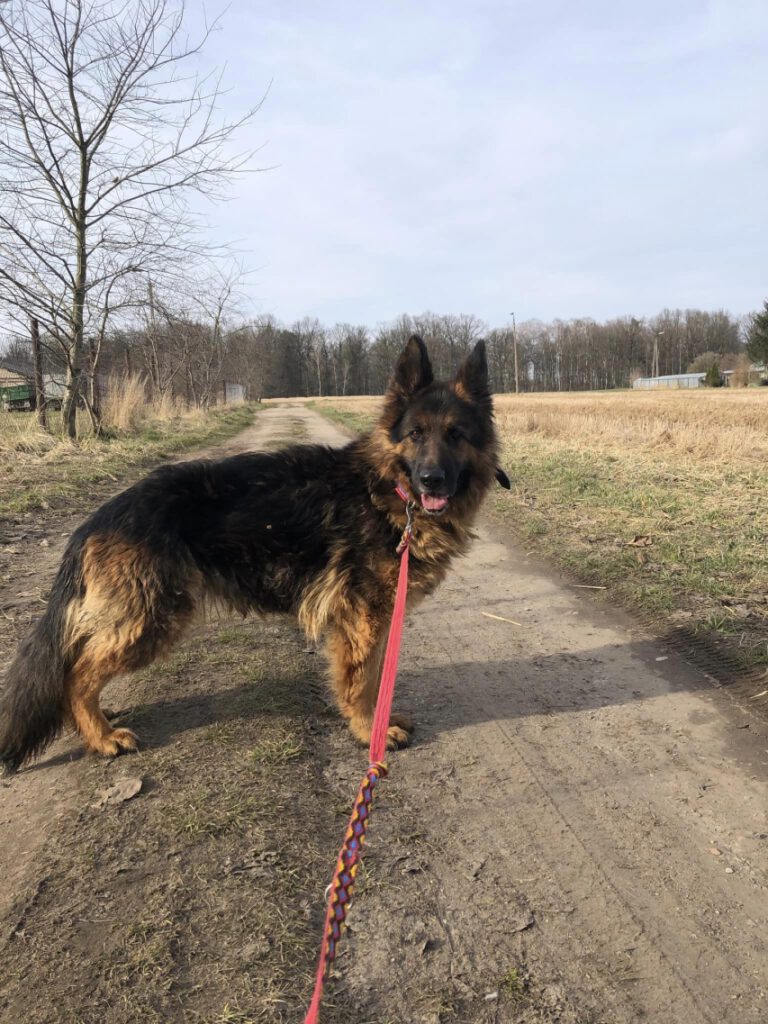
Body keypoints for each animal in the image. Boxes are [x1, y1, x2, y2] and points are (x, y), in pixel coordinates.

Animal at [0, 337, 512, 774]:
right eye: (416, 433)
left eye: (456, 435)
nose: (431, 480)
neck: (388, 489)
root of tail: (99, 518)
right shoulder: (363, 617)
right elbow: (363, 679)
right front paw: (370, 731)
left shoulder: (378, 615)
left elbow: (372, 676)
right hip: (152, 619)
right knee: (75, 674)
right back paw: (102, 736)